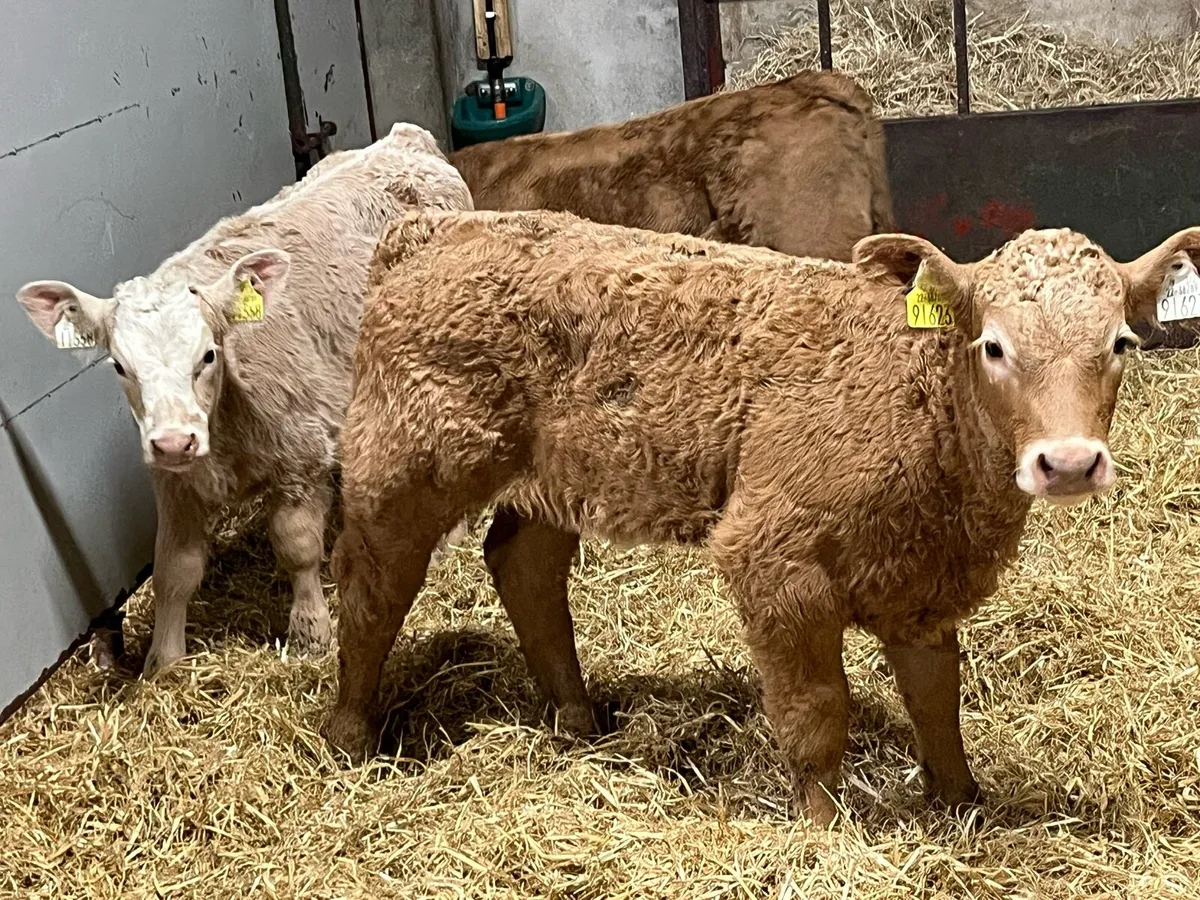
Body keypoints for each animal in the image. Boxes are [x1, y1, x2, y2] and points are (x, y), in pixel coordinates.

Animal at [15, 123, 473, 675]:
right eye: (120, 367)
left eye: (208, 354)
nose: (174, 441)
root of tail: (404, 138)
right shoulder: (175, 483)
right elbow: (174, 569)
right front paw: (163, 661)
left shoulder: (300, 457)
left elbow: (297, 545)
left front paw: (311, 631)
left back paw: (451, 536)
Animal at [320, 207, 1198, 824]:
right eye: (992, 346)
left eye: (1120, 343)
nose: (1069, 463)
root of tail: (436, 228)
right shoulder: (773, 556)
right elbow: (816, 711)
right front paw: (823, 829)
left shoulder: (921, 577)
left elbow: (936, 695)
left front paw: (960, 802)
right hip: (401, 468)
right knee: (370, 592)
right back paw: (350, 735)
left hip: (554, 474)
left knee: (524, 567)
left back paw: (578, 721)